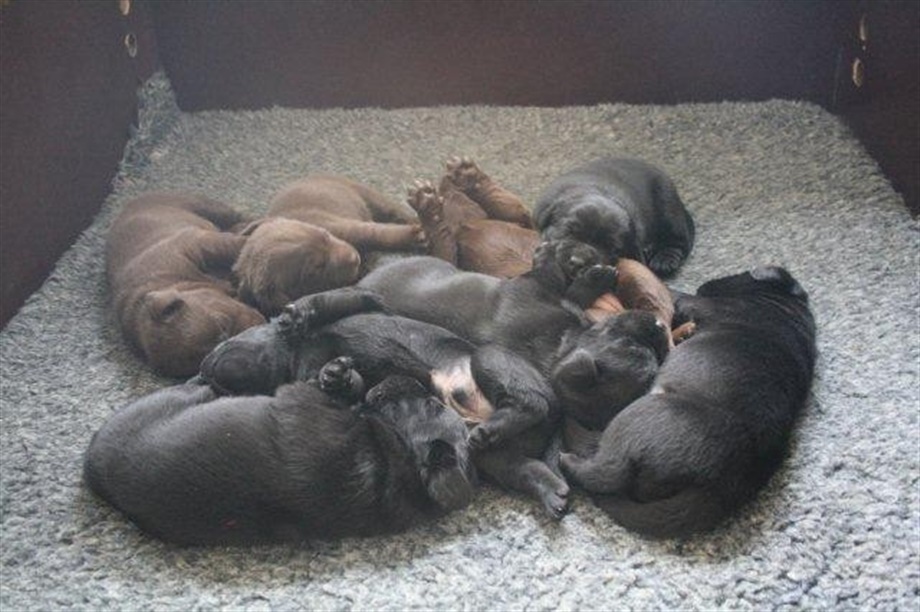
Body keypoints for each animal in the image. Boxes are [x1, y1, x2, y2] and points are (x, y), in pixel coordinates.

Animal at [84, 357, 476, 546]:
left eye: (429, 405)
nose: (412, 379)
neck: (390, 460)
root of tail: (91, 474)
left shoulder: (305, 399)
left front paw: (337, 377)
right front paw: (344, 374)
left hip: (173, 399)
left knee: (200, 385)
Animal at [199, 287, 570, 518]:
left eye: (224, 341)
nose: (203, 373)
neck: (291, 354)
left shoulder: (368, 302)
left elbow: (334, 298)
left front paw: (296, 315)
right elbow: (348, 385)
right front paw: (335, 376)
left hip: (487, 359)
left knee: (532, 401)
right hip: (493, 456)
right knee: (522, 465)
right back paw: (548, 489)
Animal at [533, 157, 695, 277]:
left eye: (610, 247)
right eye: (568, 231)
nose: (578, 262)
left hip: (668, 204)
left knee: (678, 241)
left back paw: (664, 260)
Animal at [560, 266, 817, 538]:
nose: (705, 284)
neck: (785, 305)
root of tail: (718, 488)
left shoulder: (699, 305)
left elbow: (677, 295)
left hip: (636, 418)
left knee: (606, 471)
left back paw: (569, 460)